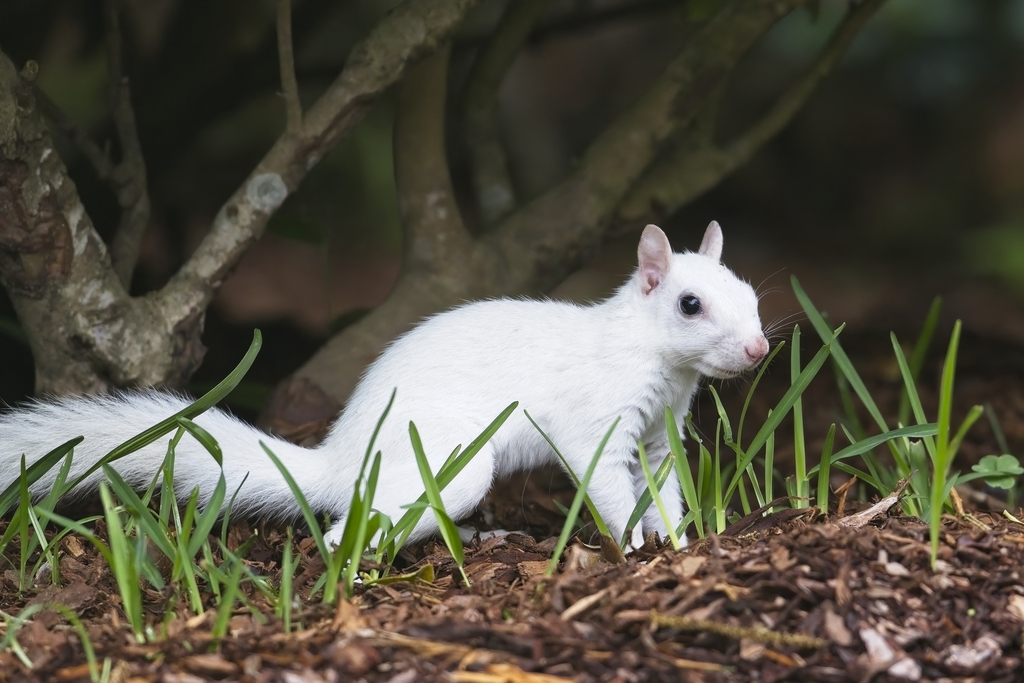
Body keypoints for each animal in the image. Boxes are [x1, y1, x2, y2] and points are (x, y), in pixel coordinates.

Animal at [0, 224, 770, 548]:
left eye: (751, 293)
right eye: (690, 304)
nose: (760, 347)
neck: (657, 362)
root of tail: (340, 460)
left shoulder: (658, 433)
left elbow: (664, 487)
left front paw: (677, 540)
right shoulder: (599, 423)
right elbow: (605, 484)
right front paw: (633, 547)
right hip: (448, 463)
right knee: (348, 526)